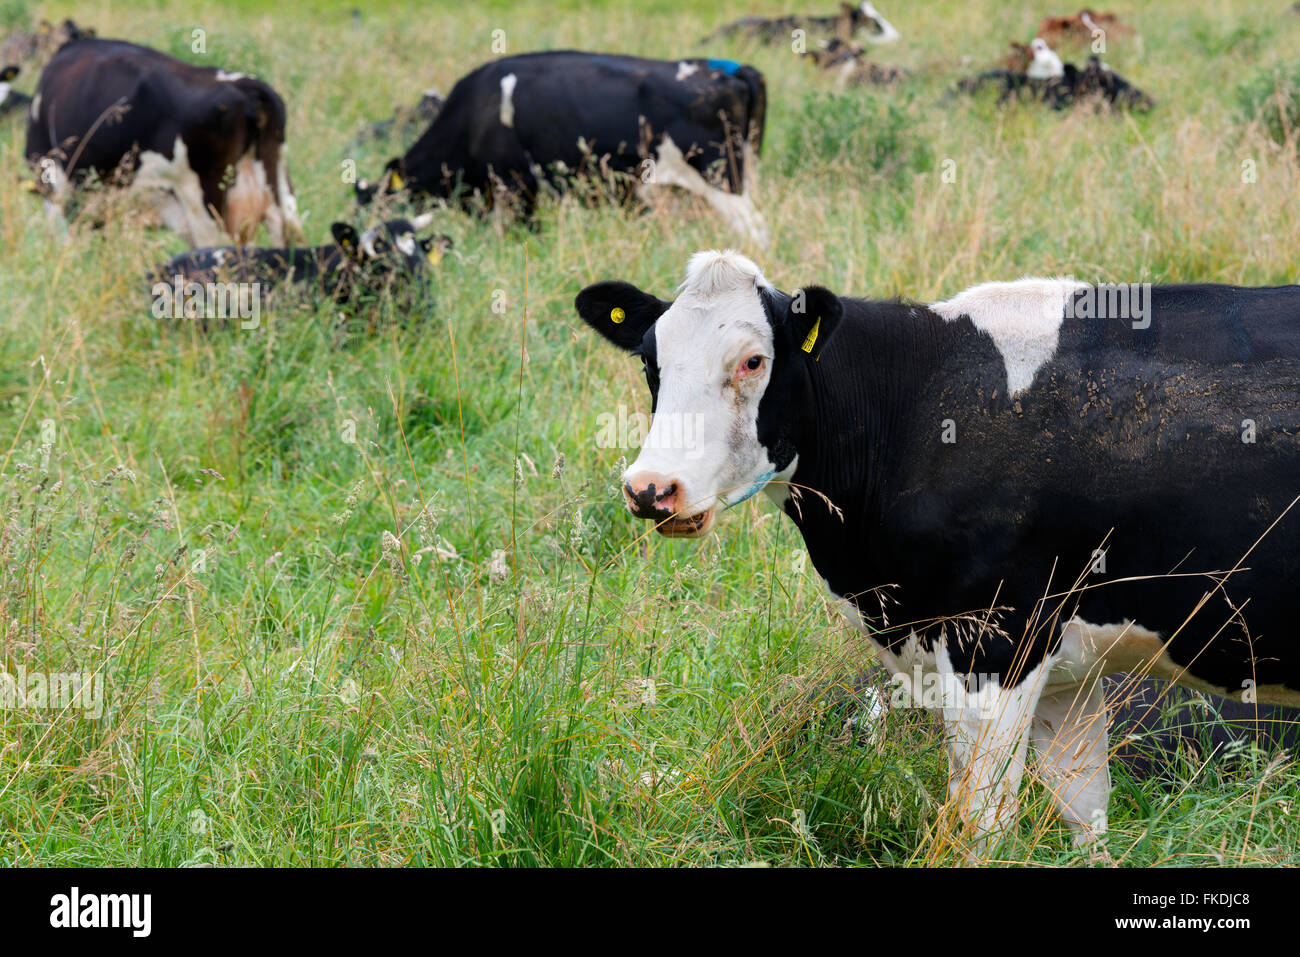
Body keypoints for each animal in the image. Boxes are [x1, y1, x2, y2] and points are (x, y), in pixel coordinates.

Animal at [574, 249, 1300, 853]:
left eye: (753, 361)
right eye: (651, 362)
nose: (651, 487)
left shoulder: (997, 641)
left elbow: (982, 821)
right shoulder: (1067, 664)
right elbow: (1083, 807)